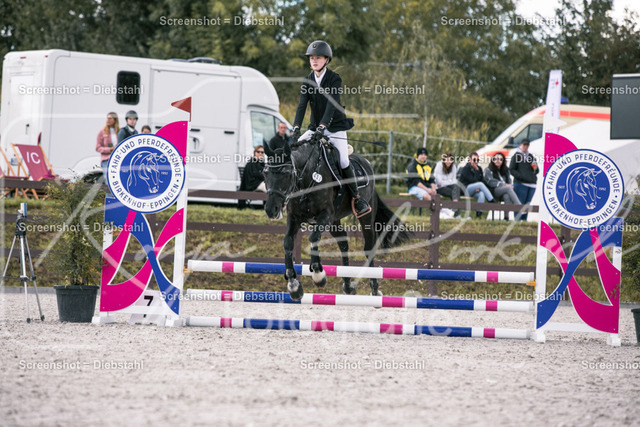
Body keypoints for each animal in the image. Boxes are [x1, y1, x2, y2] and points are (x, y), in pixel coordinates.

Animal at [262, 137, 412, 301]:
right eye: (265, 173)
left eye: (287, 173)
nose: (271, 210)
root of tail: (366, 161)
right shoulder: (295, 218)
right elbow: (288, 242)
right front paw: (294, 286)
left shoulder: (325, 215)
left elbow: (313, 237)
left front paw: (318, 276)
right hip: (334, 222)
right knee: (343, 243)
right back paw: (348, 286)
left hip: (365, 216)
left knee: (368, 248)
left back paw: (374, 289)